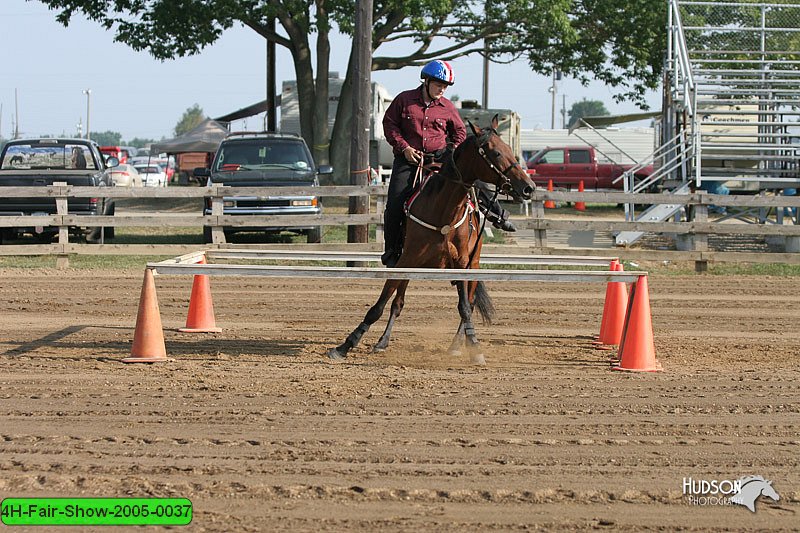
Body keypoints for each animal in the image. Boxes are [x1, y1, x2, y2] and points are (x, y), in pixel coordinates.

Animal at [324, 115, 536, 366]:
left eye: (510, 150)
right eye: (495, 153)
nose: (529, 187)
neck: (443, 211)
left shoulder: (462, 264)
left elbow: (464, 308)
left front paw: (475, 347)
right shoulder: (405, 261)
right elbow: (382, 305)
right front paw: (345, 345)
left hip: (473, 264)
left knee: (470, 302)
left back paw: (456, 346)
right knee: (398, 303)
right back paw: (382, 342)